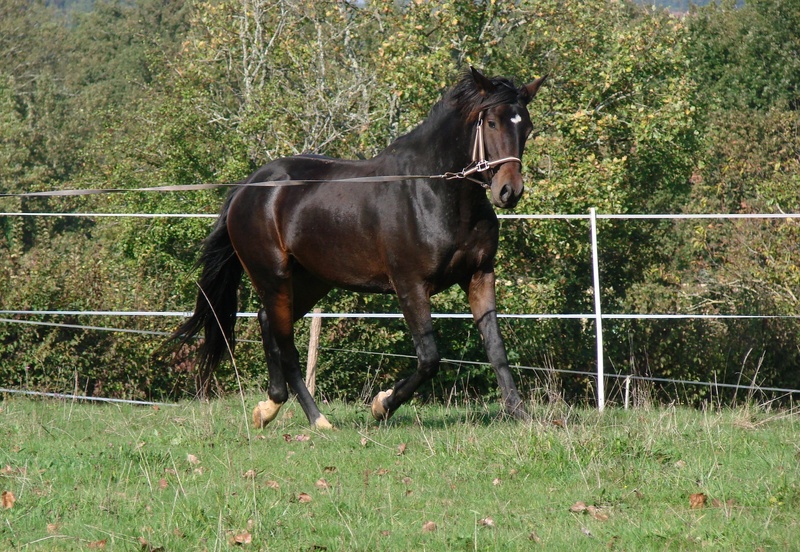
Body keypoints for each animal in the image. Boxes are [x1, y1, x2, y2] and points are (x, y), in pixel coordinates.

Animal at [173, 67, 546, 429]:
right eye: (492, 122)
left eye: (527, 126)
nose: (509, 191)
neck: (434, 192)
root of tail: (249, 187)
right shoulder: (410, 285)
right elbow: (429, 358)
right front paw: (382, 405)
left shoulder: (480, 275)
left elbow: (496, 348)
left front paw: (521, 415)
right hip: (272, 276)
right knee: (286, 346)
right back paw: (318, 420)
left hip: (311, 280)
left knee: (267, 323)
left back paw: (269, 408)